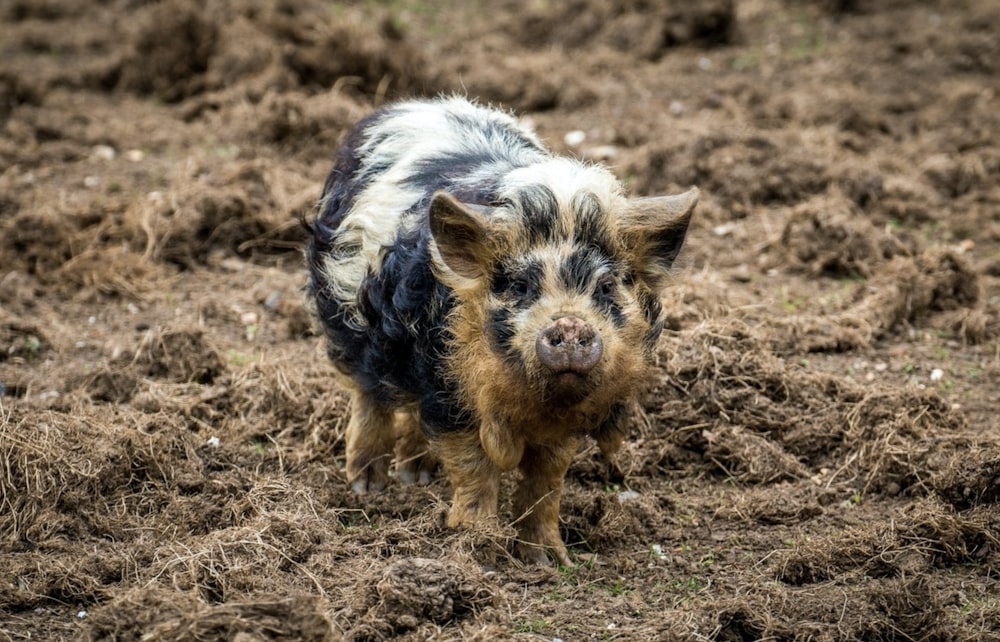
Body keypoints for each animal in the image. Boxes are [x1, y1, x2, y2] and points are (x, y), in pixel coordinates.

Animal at [304, 96, 696, 564]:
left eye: (604, 287)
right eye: (522, 285)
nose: (569, 323)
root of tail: (413, 104)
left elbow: (547, 480)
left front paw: (547, 559)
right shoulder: (450, 389)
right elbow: (475, 469)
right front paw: (480, 550)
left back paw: (417, 477)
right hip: (350, 318)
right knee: (370, 396)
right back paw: (370, 486)